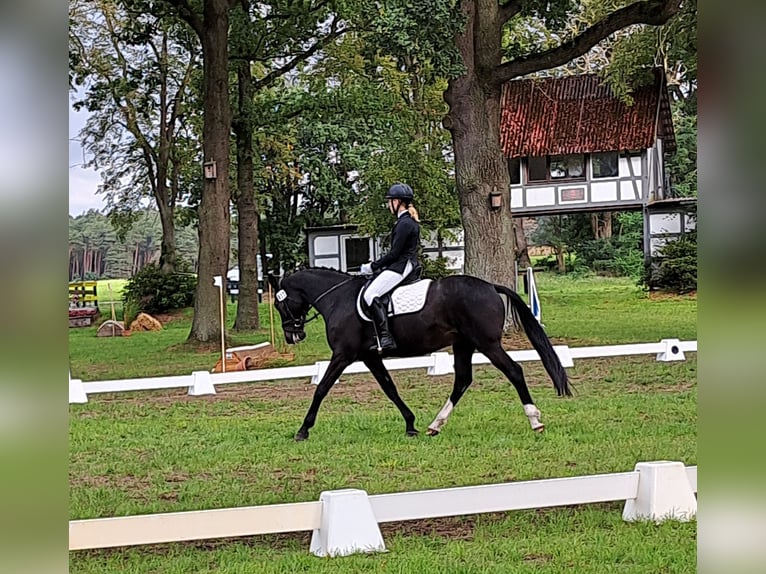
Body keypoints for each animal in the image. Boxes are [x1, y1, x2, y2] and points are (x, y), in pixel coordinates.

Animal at [270, 268, 568, 444]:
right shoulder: (370, 357)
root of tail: (490, 286)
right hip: (464, 344)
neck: (338, 299)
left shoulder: (343, 354)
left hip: (487, 344)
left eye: (279, 303)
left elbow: (321, 388)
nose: (292, 336)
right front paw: (411, 424)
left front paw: (303, 430)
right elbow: (389, 388)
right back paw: (435, 425)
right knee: (462, 380)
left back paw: (535, 421)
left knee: (514, 371)